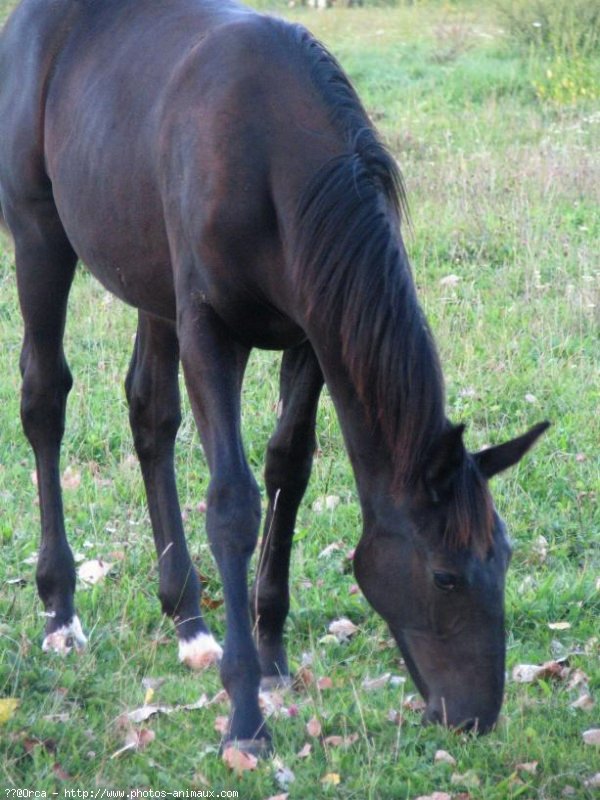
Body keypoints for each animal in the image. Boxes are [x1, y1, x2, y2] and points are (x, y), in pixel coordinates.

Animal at [0, 0, 548, 752]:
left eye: (505, 556)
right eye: (444, 577)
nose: (474, 716)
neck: (275, 160)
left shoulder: (312, 336)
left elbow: (289, 466)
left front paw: (269, 652)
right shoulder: (210, 330)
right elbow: (233, 500)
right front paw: (244, 717)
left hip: (150, 282)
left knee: (150, 415)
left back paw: (188, 618)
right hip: (40, 237)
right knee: (44, 400)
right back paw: (61, 610)